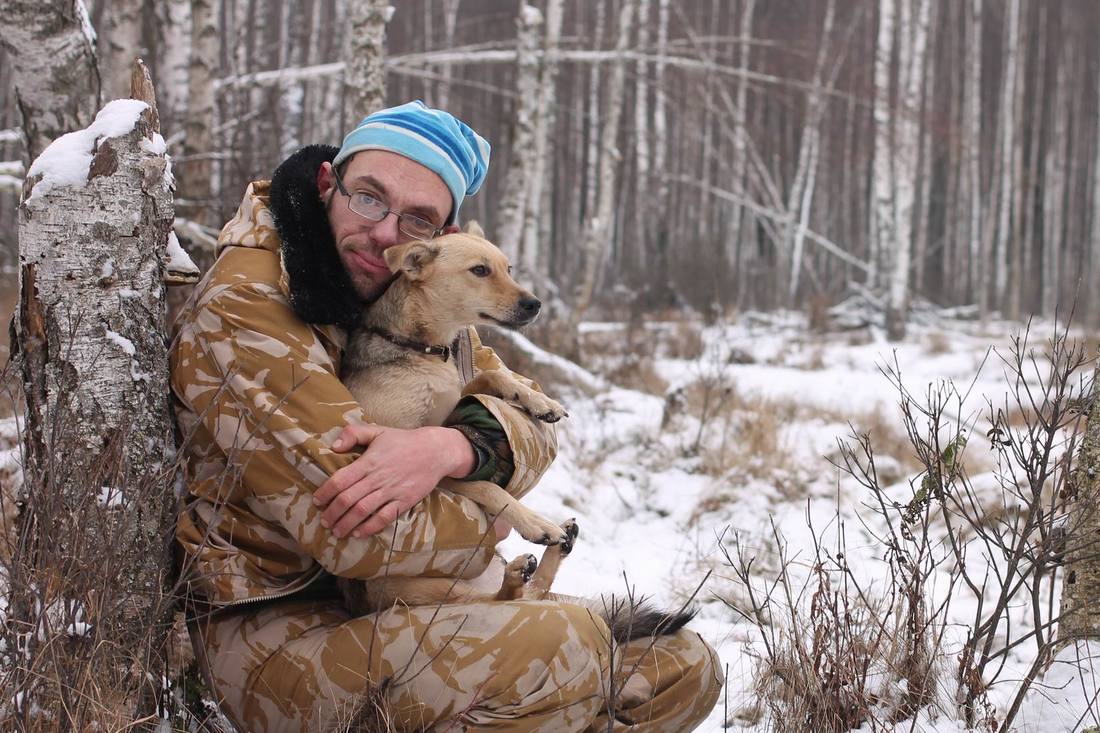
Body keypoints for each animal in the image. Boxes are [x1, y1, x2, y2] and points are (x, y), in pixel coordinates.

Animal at [338, 224, 690, 638]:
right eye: (479, 270)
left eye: (508, 268)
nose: (535, 304)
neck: (422, 348)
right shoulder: (417, 468)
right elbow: (487, 486)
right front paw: (534, 522)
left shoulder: (454, 404)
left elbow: (489, 377)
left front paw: (539, 401)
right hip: (427, 592)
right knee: (504, 600)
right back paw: (529, 558)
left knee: (533, 594)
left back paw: (554, 547)